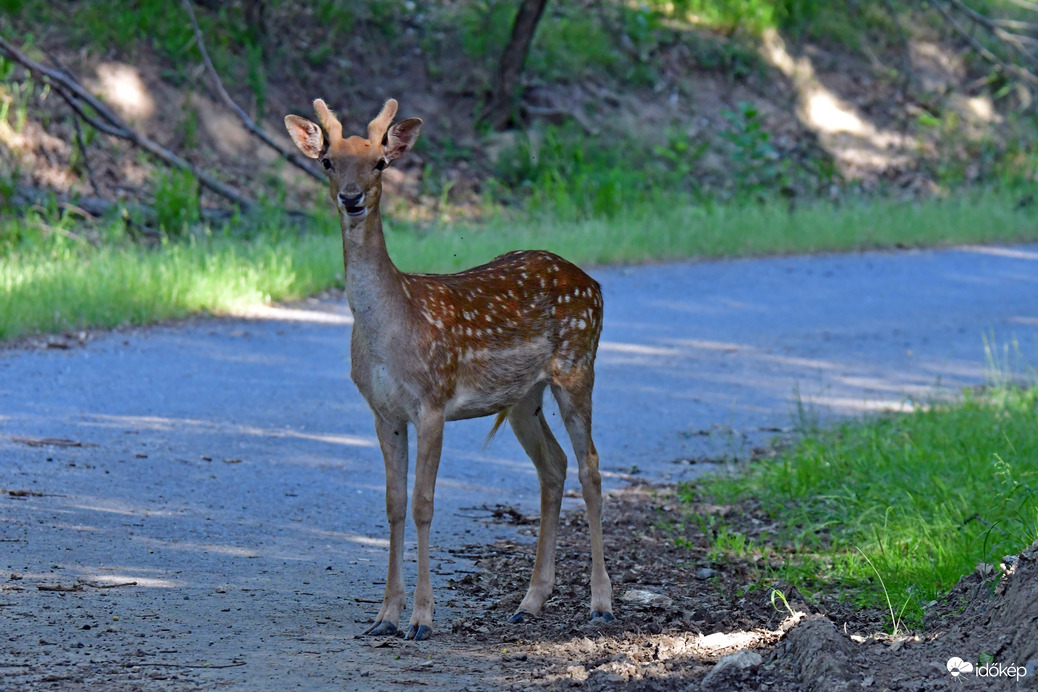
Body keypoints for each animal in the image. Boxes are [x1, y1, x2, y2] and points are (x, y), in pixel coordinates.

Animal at [284, 98, 610, 643]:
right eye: (328, 162)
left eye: (380, 162)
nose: (352, 198)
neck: (391, 329)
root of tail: (596, 285)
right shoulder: (383, 412)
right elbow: (393, 504)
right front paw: (384, 617)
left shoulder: (432, 402)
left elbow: (423, 504)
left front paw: (421, 619)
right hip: (522, 397)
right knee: (554, 465)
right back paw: (529, 603)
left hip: (577, 366)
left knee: (590, 465)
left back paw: (601, 604)